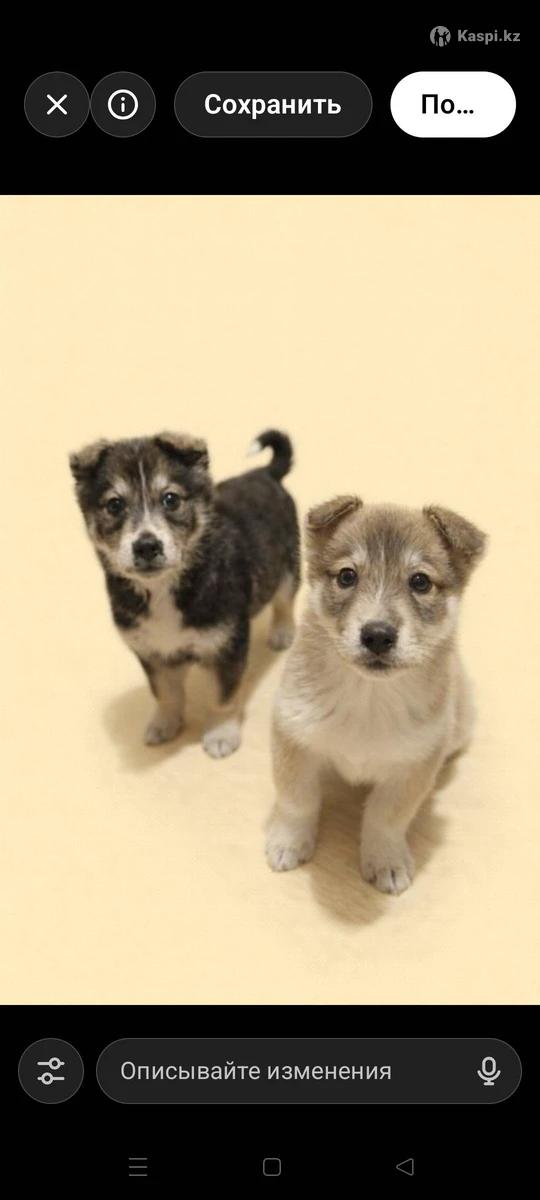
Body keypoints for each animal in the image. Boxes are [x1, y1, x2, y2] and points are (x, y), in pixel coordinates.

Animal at [70, 429, 299, 757]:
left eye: (171, 499)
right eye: (114, 505)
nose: (147, 546)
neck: (164, 589)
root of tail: (265, 472)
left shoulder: (227, 647)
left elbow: (223, 697)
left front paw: (221, 734)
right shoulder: (151, 651)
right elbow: (165, 694)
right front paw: (165, 724)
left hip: (289, 562)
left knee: (284, 600)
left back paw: (282, 633)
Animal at [266, 495, 486, 893]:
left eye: (420, 581)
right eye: (346, 576)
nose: (378, 635)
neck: (369, 696)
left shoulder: (412, 768)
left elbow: (386, 820)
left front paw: (386, 861)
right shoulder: (294, 738)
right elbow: (297, 800)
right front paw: (288, 842)